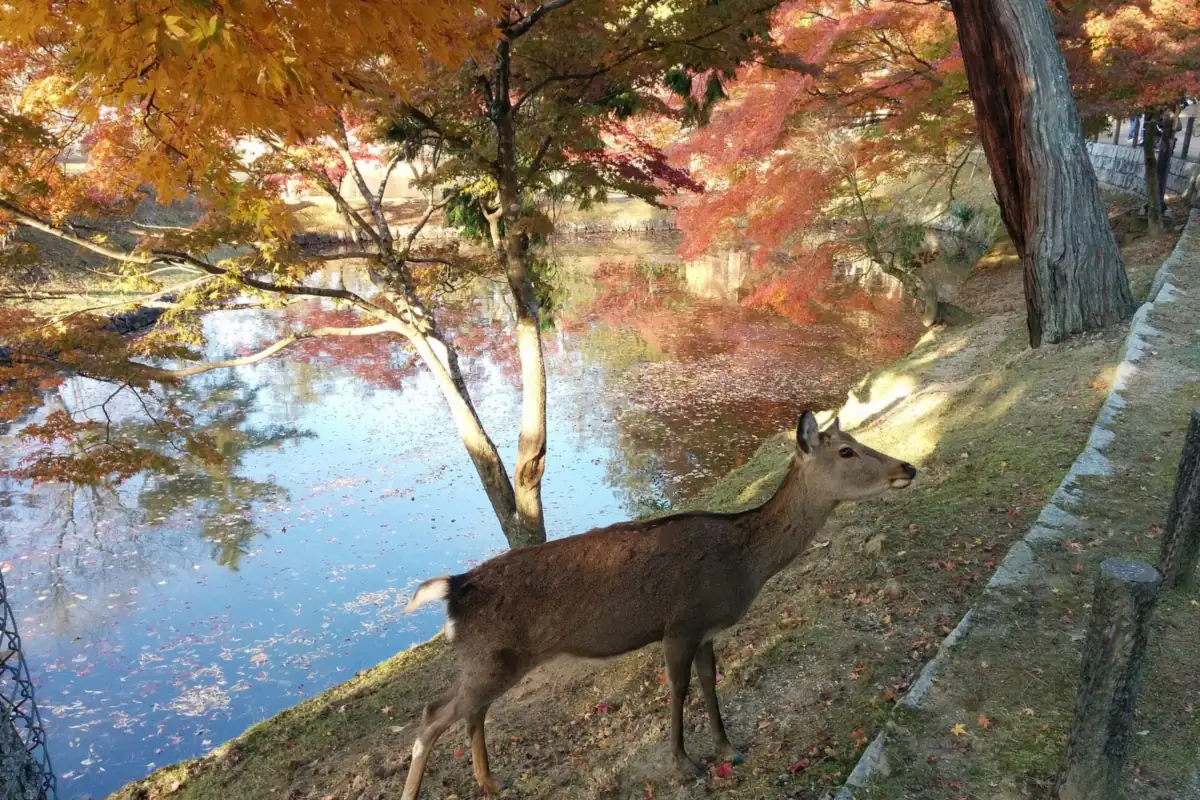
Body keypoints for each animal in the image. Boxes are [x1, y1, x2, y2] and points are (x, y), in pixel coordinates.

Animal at [400, 411, 917, 799]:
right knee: (431, 715)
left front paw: (728, 749)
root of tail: (453, 589)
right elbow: (679, 689)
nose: (907, 468)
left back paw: (491, 782)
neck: (742, 565)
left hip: (490, 660)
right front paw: (684, 762)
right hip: (491, 657)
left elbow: (710, 682)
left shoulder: (706, 629)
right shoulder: (680, 624)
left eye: (854, 440)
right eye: (846, 451)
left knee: (471, 712)